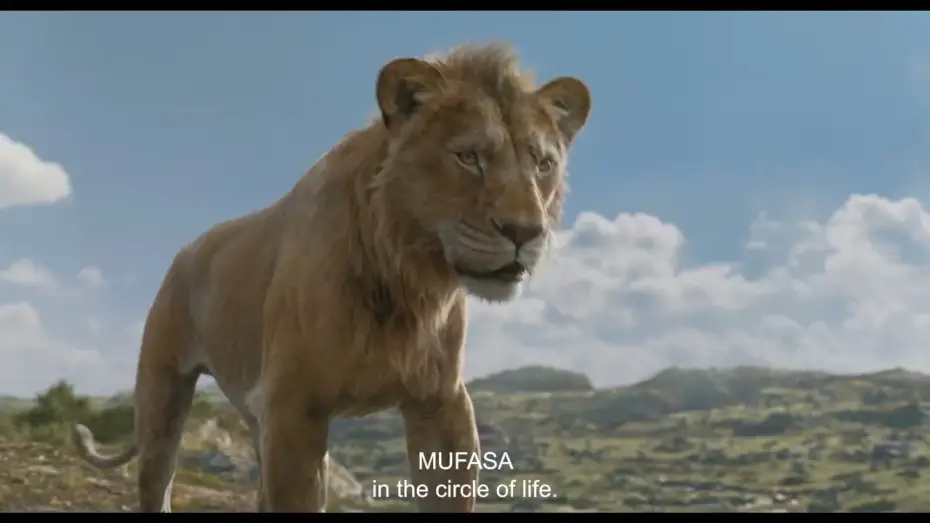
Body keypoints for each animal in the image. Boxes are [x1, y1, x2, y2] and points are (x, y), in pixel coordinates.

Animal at [70, 42, 591, 513]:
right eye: (468, 158)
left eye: (543, 164)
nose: (525, 232)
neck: (408, 281)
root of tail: (185, 252)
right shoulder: (294, 407)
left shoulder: (442, 404)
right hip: (164, 396)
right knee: (157, 480)